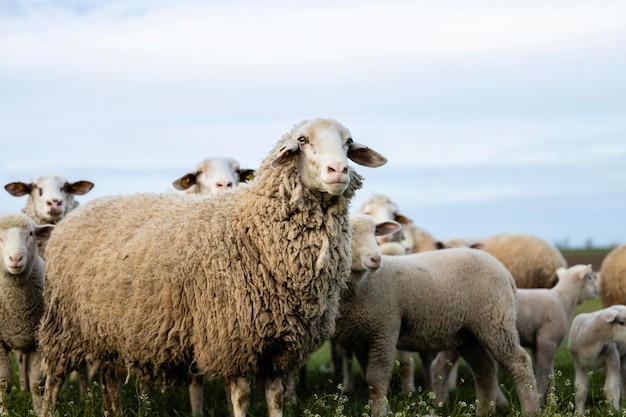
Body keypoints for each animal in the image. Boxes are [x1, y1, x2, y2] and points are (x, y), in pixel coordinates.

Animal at [0, 213, 53, 414]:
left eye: (30, 233)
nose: (15, 258)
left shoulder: (38, 341)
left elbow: (37, 385)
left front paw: (42, 412)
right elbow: (4, 383)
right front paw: (4, 412)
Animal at [36, 117, 386, 416]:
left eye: (348, 142)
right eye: (302, 140)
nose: (338, 169)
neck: (254, 228)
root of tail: (72, 216)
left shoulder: (278, 345)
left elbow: (274, 398)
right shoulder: (231, 339)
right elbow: (241, 398)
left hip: (108, 329)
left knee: (108, 378)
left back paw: (114, 412)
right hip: (63, 324)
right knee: (53, 378)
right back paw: (47, 410)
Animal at [334, 214, 540, 416]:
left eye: (374, 233)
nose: (376, 259)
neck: (363, 286)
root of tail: (505, 272)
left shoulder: (385, 330)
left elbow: (377, 379)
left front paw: (380, 413)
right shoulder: (362, 339)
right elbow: (369, 379)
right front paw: (384, 409)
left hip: (496, 321)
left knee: (519, 362)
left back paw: (530, 410)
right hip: (469, 334)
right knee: (485, 368)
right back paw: (484, 411)